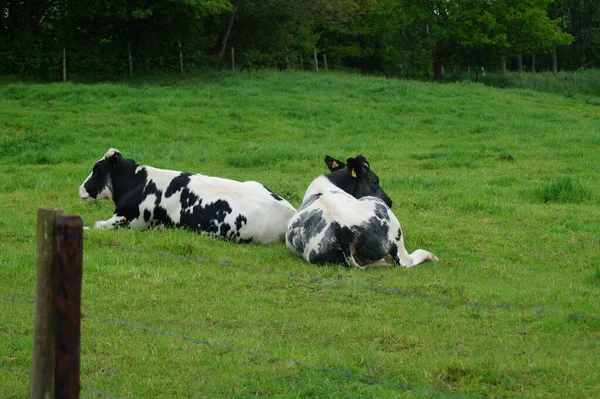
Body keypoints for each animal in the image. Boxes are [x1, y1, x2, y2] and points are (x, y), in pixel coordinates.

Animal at [78, 149, 296, 245]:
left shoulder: (128, 221)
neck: (138, 183)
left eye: (97, 169)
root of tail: (290, 212)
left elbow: (95, 225)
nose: (80, 188)